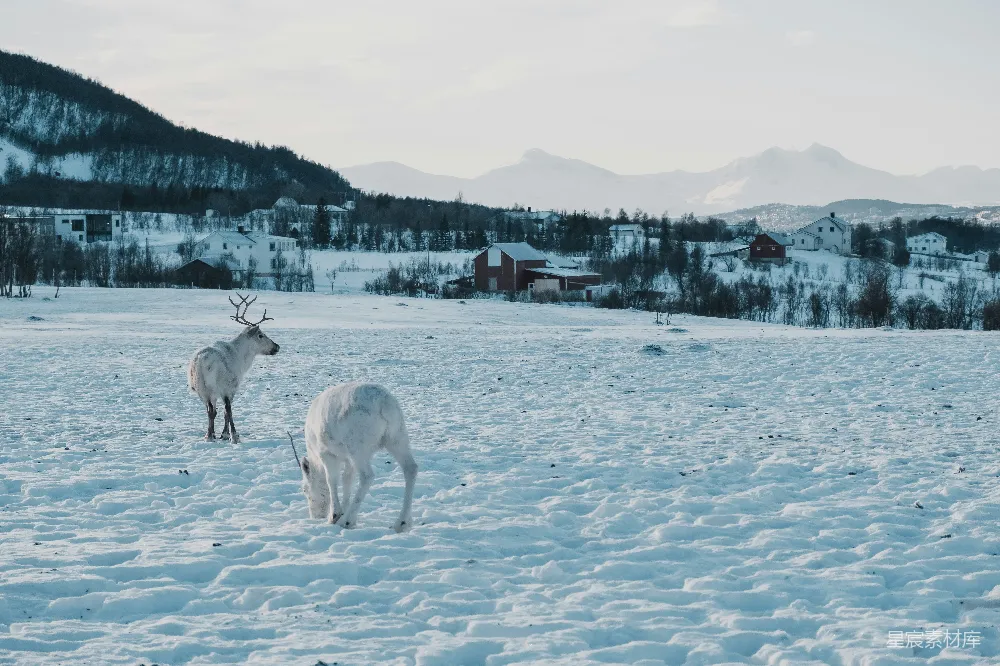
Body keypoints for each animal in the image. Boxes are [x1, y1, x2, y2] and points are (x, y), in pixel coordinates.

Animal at [188, 293, 280, 444]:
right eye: (261, 335)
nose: (277, 346)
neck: (242, 358)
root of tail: (201, 362)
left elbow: (215, 411)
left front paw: (215, 434)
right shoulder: (230, 388)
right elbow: (227, 410)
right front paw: (227, 434)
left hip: (201, 389)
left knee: (209, 410)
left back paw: (209, 435)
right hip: (218, 386)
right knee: (224, 409)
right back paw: (233, 435)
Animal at [291, 382, 418, 533]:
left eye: (305, 489)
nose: (316, 516)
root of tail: (384, 403)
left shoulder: (327, 454)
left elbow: (331, 480)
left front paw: (334, 516)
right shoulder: (348, 460)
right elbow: (347, 479)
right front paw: (343, 509)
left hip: (358, 448)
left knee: (367, 476)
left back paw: (347, 521)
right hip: (397, 438)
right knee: (411, 468)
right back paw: (401, 523)